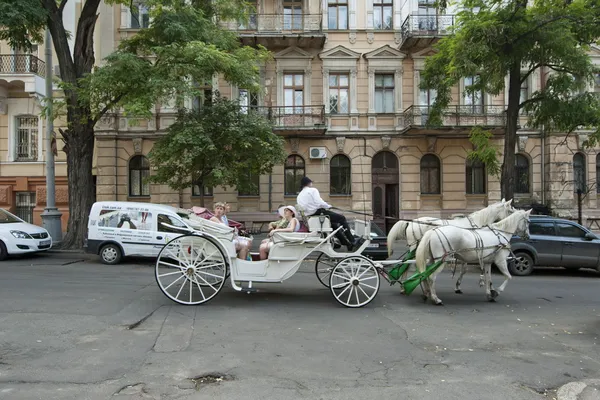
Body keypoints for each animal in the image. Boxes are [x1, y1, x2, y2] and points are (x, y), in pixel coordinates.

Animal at [386, 198, 516, 292]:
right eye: (511, 210)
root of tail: (411, 222)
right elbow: (465, 270)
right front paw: (458, 286)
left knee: (406, 264)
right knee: (408, 264)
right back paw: (405, 286)